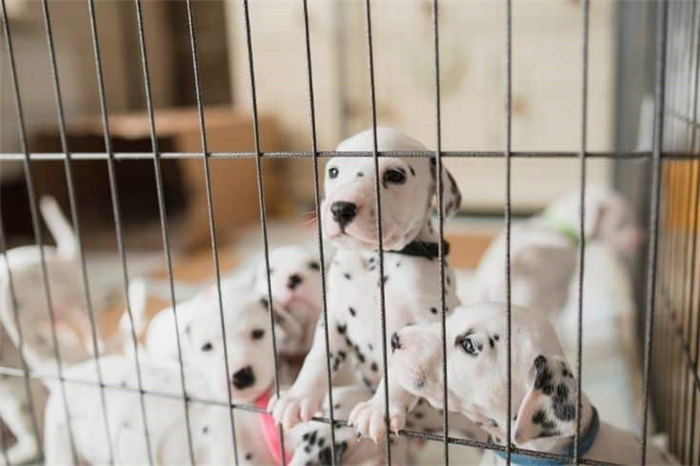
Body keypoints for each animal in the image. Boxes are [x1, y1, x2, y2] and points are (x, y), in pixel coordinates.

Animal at [266, 126, 484, 444]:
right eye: (333, 171)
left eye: (394, 175)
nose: (340, 208)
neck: (376, 261)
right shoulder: (334, 318)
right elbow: (317, 359)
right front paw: (297, 395)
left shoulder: (422, 324)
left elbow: (398, 373)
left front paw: (377, 409)